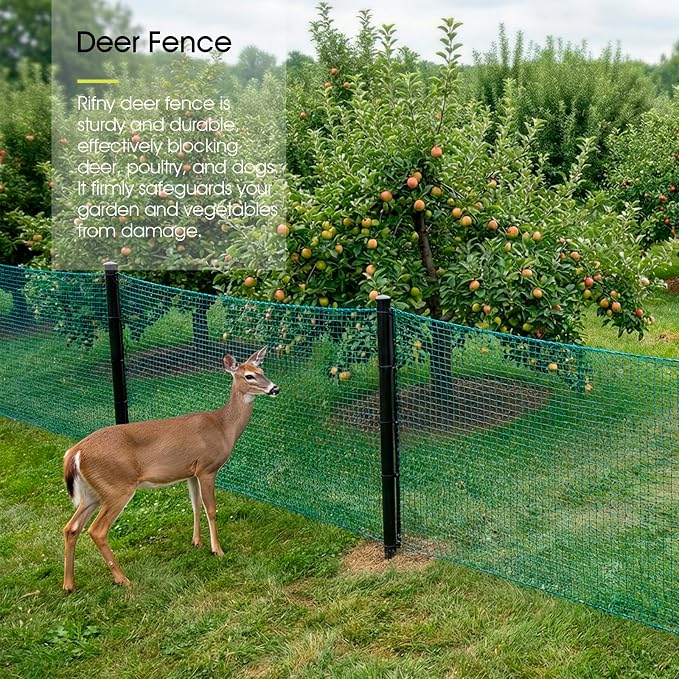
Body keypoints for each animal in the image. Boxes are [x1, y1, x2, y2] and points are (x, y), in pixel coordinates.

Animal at [62, 347, 279, 592]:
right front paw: (217, 550)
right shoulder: (207, 468)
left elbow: (195, 505)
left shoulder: (191, 472)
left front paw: (197, 541)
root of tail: (75, 452)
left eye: (262, 370)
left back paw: (69, 585)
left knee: (71, 528)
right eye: (249, 376)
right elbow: (211, 509)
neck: (223, 427)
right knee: (97, 531)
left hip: (93, 493)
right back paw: (122, 579)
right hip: (117, 487)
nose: (275, 388)